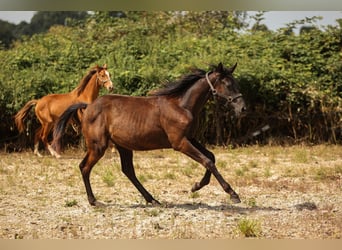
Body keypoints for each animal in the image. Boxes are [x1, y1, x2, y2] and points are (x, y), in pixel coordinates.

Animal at [52, 62, 246, 205]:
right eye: (227, 84)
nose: (243, 108)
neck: (182, 105)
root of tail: (88, 106)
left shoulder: (189, 138)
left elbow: (211, 157)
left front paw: (197, 185)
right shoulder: (180, 143)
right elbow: (207, 161)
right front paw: (232, 194)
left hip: (122, 147)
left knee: (127, 171)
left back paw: (152, 199)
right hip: (98, 146)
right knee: (85, 167)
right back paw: (94, 201)